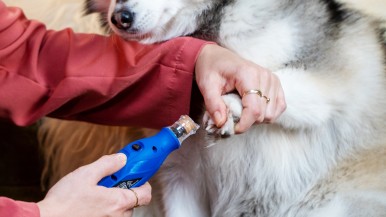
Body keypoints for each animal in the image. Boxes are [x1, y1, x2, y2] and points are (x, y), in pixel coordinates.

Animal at [36, 0, 386, 216]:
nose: (120, 18)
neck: (204, 31)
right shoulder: (179, 174)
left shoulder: (332, 80)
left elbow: (273, 78)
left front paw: (232, 104)